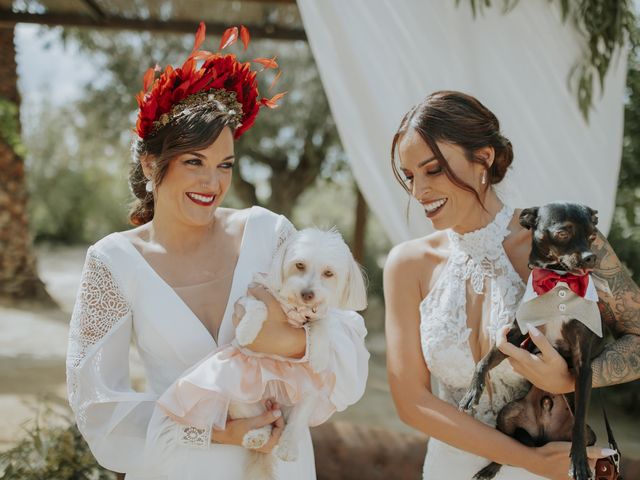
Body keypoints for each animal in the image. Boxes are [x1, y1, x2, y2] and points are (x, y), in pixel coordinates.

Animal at [232, 228, 368, 476]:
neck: (296, 307)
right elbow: (258, 307)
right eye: (299, 265)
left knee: (292, 425)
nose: (307, 294)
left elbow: (323, 324)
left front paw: (320, 355)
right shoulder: (252, 296)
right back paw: (257, 436)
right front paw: (246, 331)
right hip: (240, 399)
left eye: (328, 273)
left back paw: (288, 447)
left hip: (308, 395)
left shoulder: (320, 314)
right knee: (263, 422)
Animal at [460, 202, 604, 480]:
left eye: (593, 236)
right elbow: (484, 361)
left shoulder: (583, 366)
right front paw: (472, 392)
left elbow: (580, 418)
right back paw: (489, 468)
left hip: (591, 434)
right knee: (510, 444)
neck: (559, 282)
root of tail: (544, 435)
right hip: (507, 414)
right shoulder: (514, 338)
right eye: (562, 233)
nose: (590, 257)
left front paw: (579, 463)